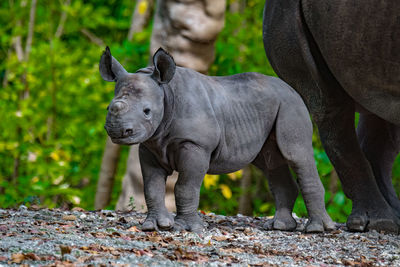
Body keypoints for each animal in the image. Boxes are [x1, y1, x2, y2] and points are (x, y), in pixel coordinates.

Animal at [99, 47, 334, 233]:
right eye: (109, 107)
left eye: (147, 111)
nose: (118, 131)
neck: (166, 93)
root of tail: (292, 89)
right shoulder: (150, 145)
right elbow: (151, 187)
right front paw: (155, 226)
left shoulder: (196, 145)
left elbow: (185, 187)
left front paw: (184, 228)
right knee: (271, 162)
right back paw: (280, 227)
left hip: (291, 105)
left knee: (297, 155)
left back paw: (316, 230)